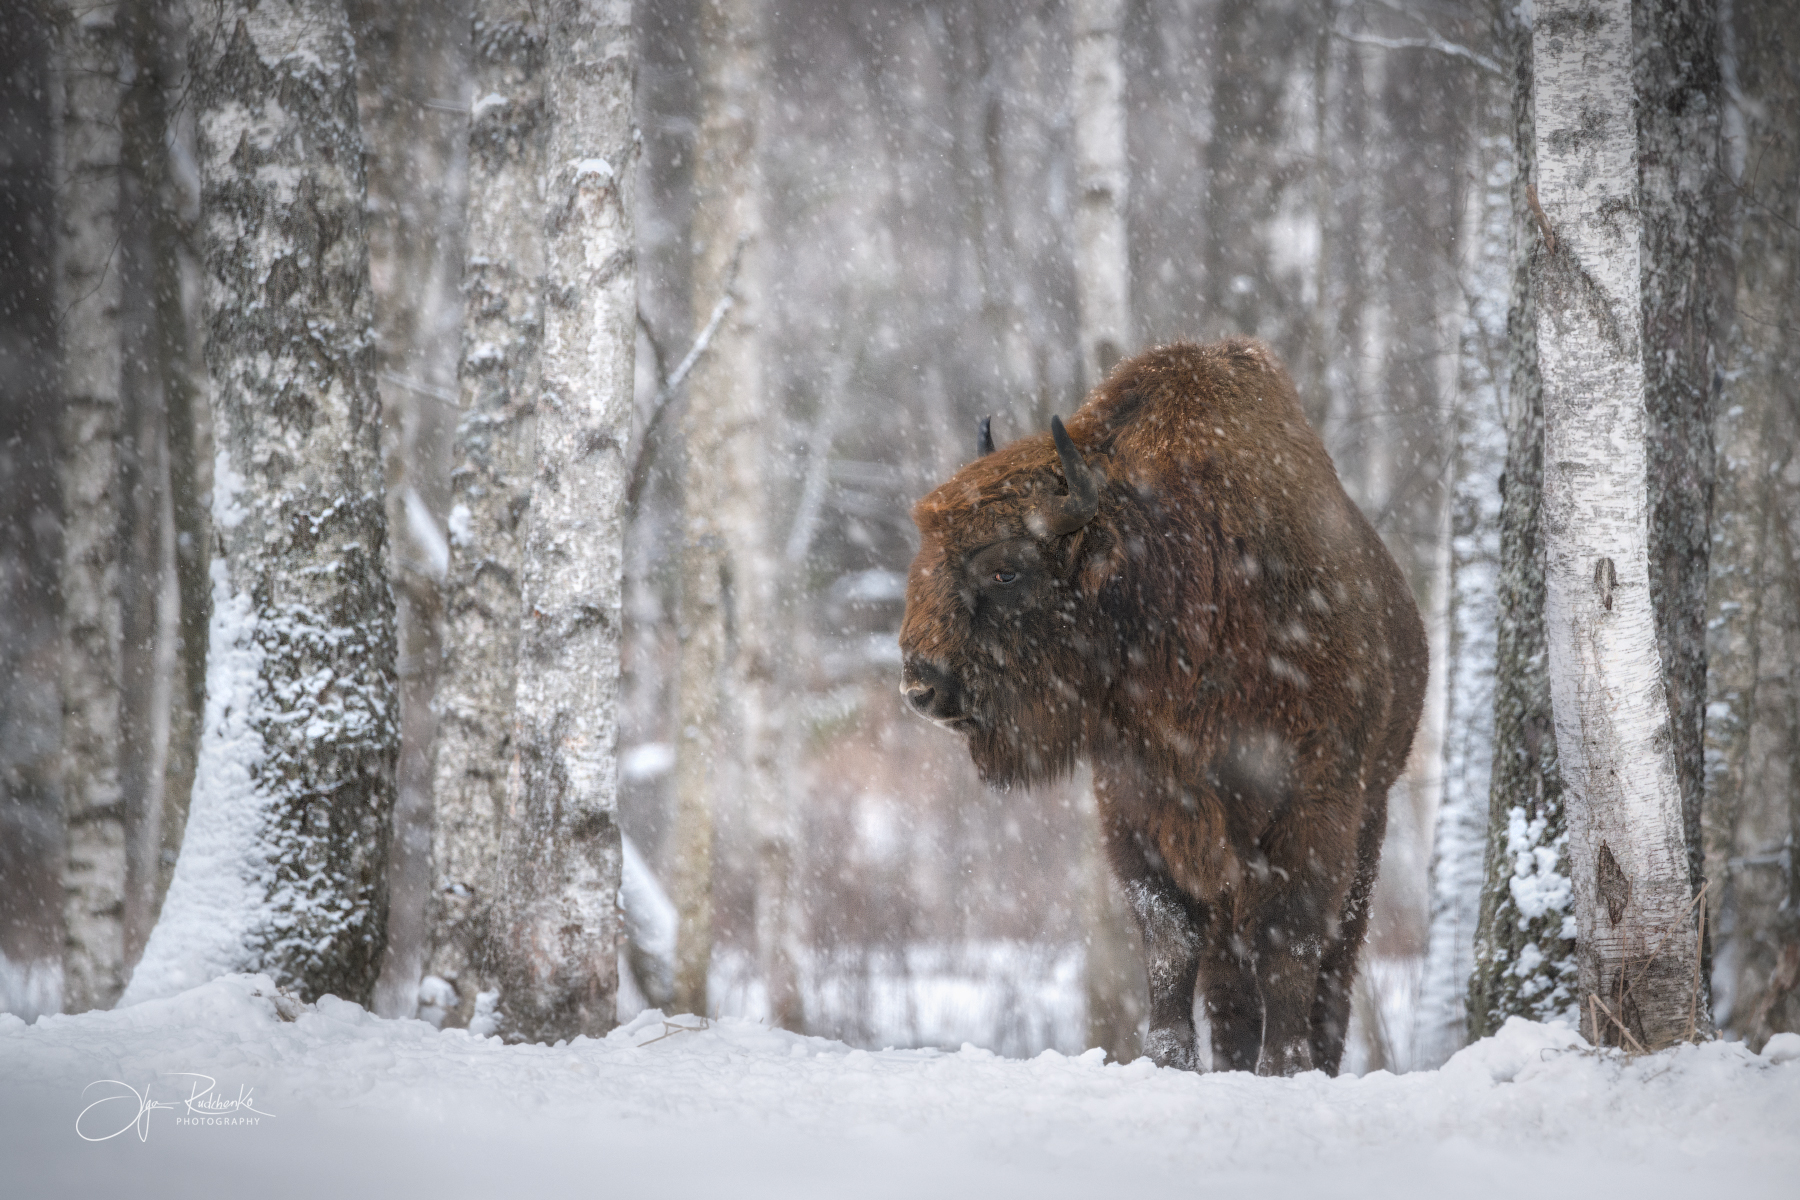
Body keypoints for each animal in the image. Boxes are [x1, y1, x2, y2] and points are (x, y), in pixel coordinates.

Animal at [896, 340, 1418, 1079]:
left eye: (1006, 570)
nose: (921, 688)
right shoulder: (1138, 806)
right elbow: (1170, 941)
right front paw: (1169, 1062)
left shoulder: (1317, 800)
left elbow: (1289, 941)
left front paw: (1285, 1067)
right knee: (1228, 969)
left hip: (1372, 813)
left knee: (1334, 955)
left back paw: (1314, 1056)